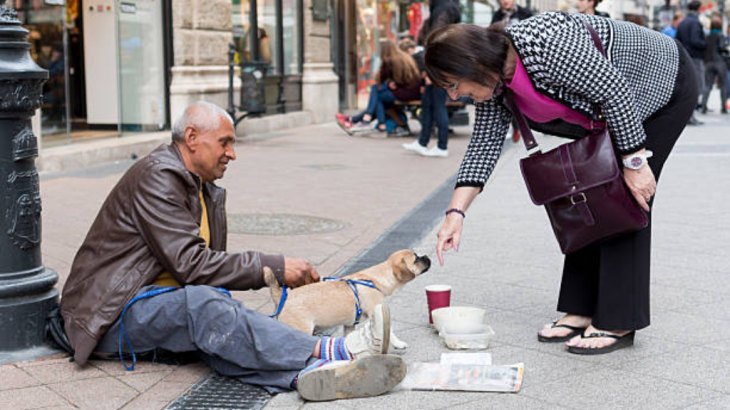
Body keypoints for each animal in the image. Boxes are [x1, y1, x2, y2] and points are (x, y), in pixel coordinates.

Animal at [264, 250, 430, 350]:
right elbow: (391, 331)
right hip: (301, 329)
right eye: (416, 259)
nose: (427, 257)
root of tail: (282, 297)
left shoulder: (349, 325)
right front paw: (398, 343)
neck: (376, 278)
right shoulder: (377, 312)